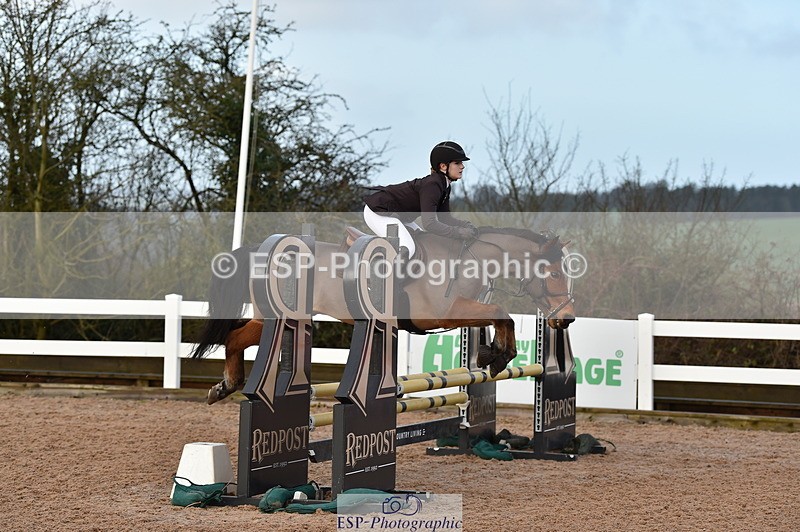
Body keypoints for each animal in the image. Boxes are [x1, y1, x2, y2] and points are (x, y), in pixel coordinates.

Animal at [190, 227, 576, 404]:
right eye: (556, 273)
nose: (567, 319)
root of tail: (261, 250)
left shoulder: (465, 311)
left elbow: (499, 317)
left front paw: (492, 355)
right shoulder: (445, 313)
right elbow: (502, 313)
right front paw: (496, 357)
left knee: (236, 337)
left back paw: (224, 386)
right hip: (277, 317)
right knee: (233, 338)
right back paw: (226, 386)